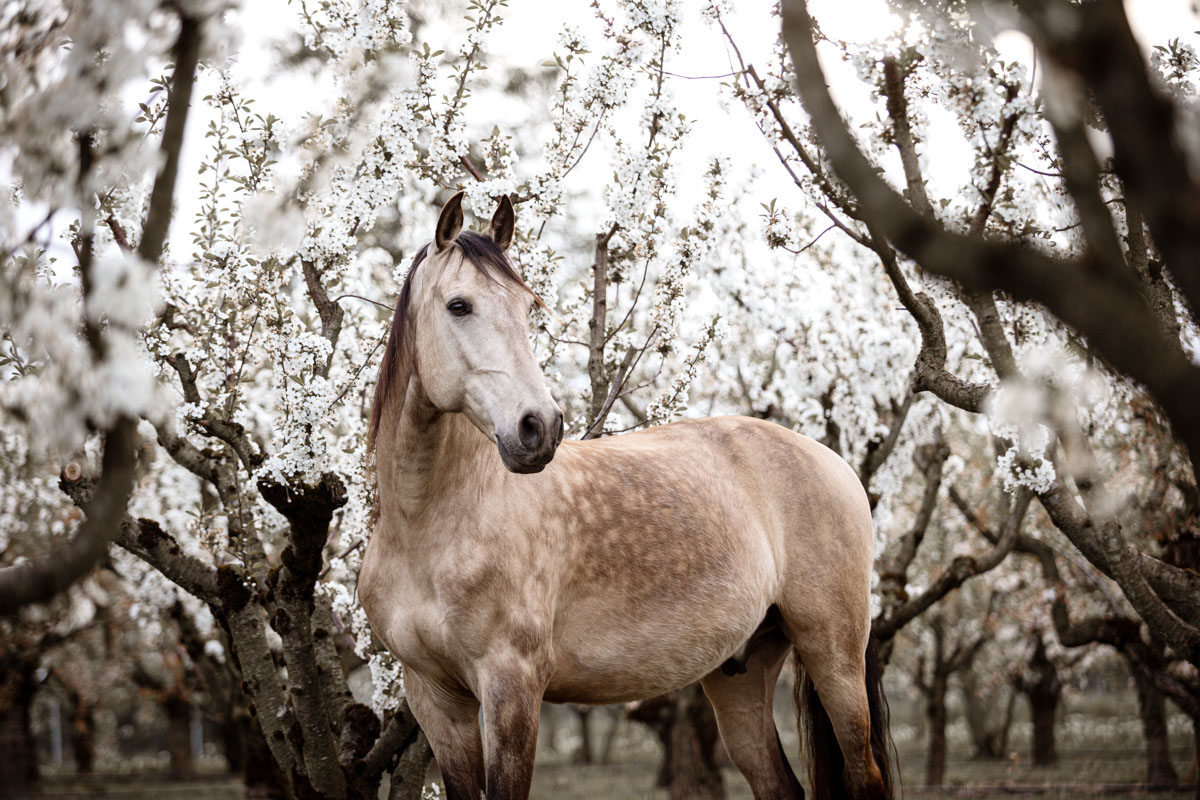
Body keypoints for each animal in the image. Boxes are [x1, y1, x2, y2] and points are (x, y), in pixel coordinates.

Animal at [360, 191, 897, 800]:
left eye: (528, 308)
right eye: (459, 305)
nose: (539, 428)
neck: (428, 525)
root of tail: (835, 464)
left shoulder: (511, 688)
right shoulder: (435, 700)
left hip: (834, 657)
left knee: (865, 775)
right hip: (740, 678)